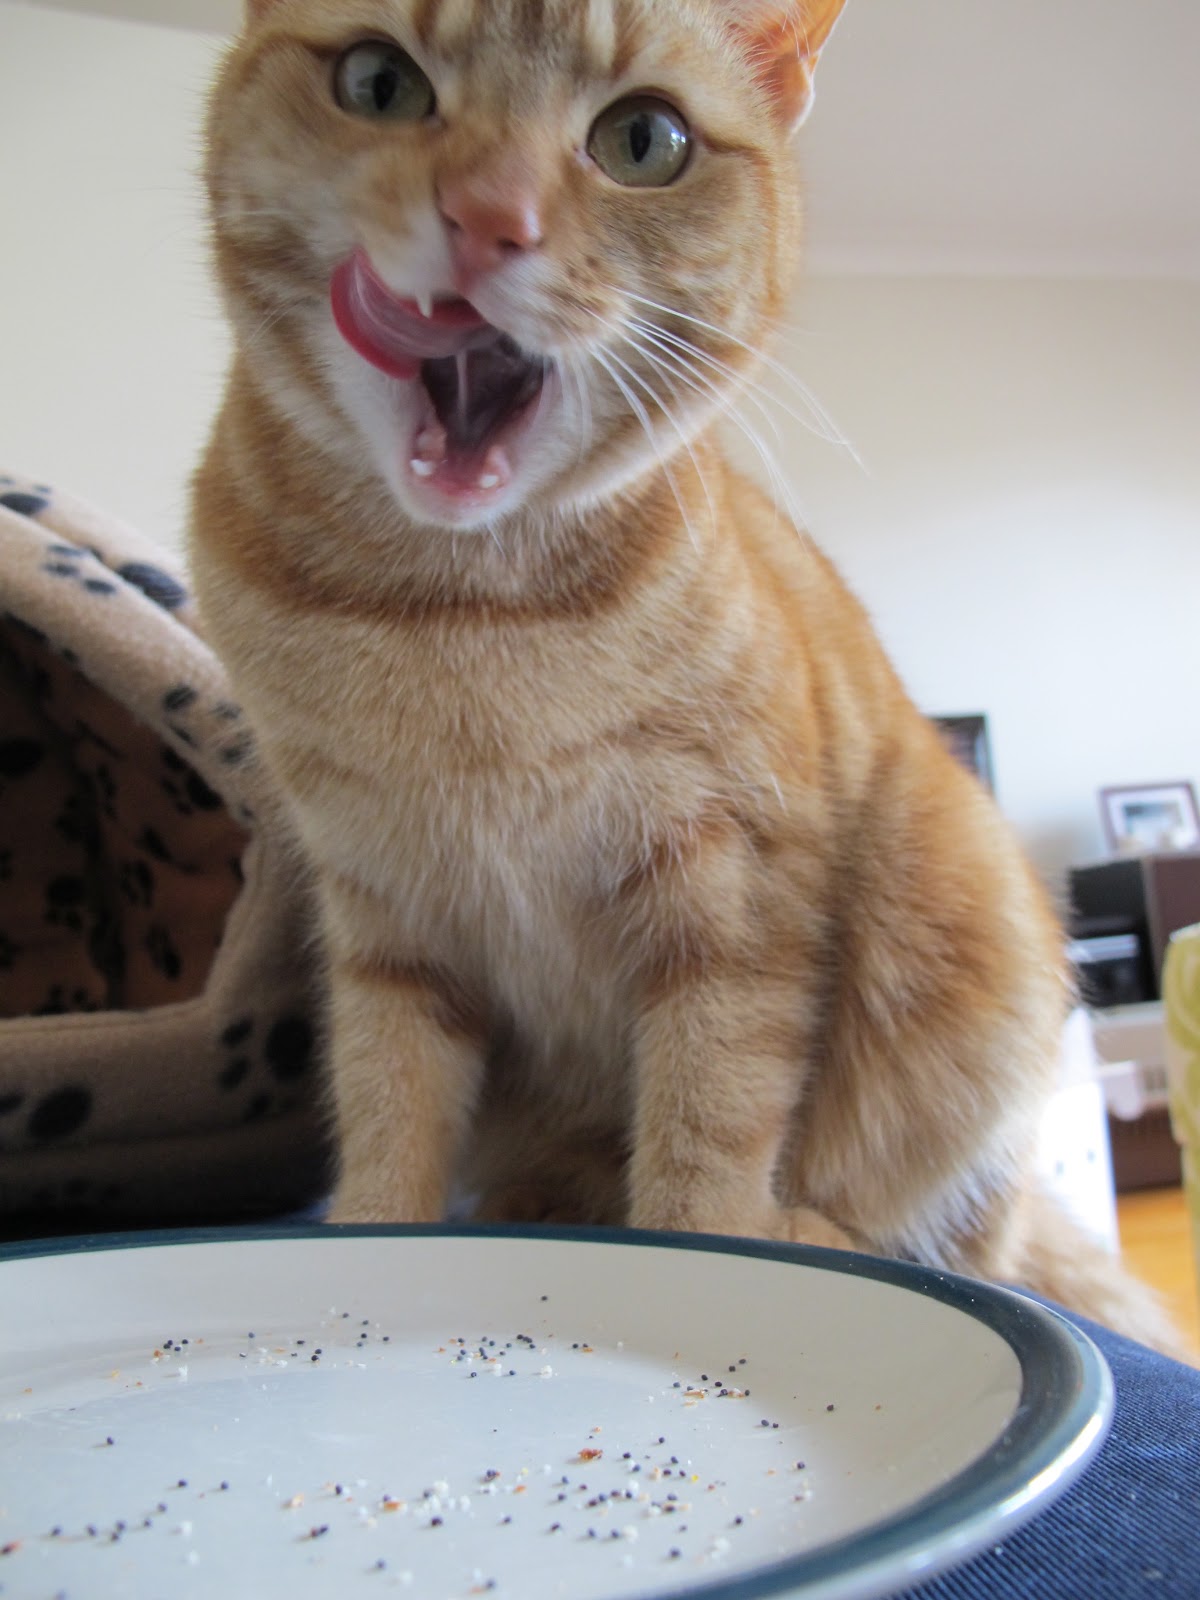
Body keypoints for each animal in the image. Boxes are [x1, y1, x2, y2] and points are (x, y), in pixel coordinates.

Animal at [190, 0, 1181, 1353]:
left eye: (642, 142)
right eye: (379, 83)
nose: (488, 216)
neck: (454, 616)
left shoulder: (736, 897)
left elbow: (707, 1140)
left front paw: (712, 1264)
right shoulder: (385, 915)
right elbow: (390, 1109)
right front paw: (370, 1245)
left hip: (980, 936)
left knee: (961, 1239)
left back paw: (814, 1232)